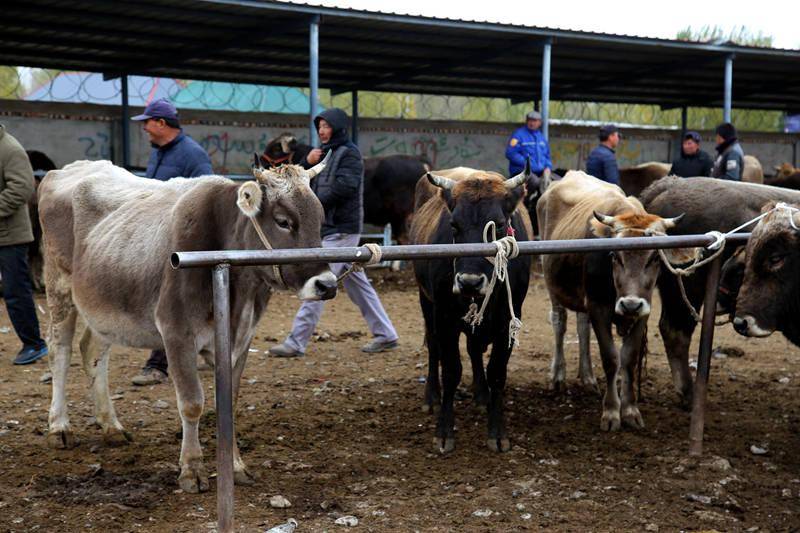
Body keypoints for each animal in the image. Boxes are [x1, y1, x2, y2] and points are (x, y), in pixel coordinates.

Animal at [412, 163, 532, 454]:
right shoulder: (444, 317)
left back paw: (481, 394)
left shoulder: (508, 319)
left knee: (475, 349)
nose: (469, 282)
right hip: (425, 302)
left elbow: (497, 373)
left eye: (498, 224)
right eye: (454, 225)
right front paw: (444, 432)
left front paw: (497, 432)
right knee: (433, 347)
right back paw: (432, 396)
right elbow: (451, 369)